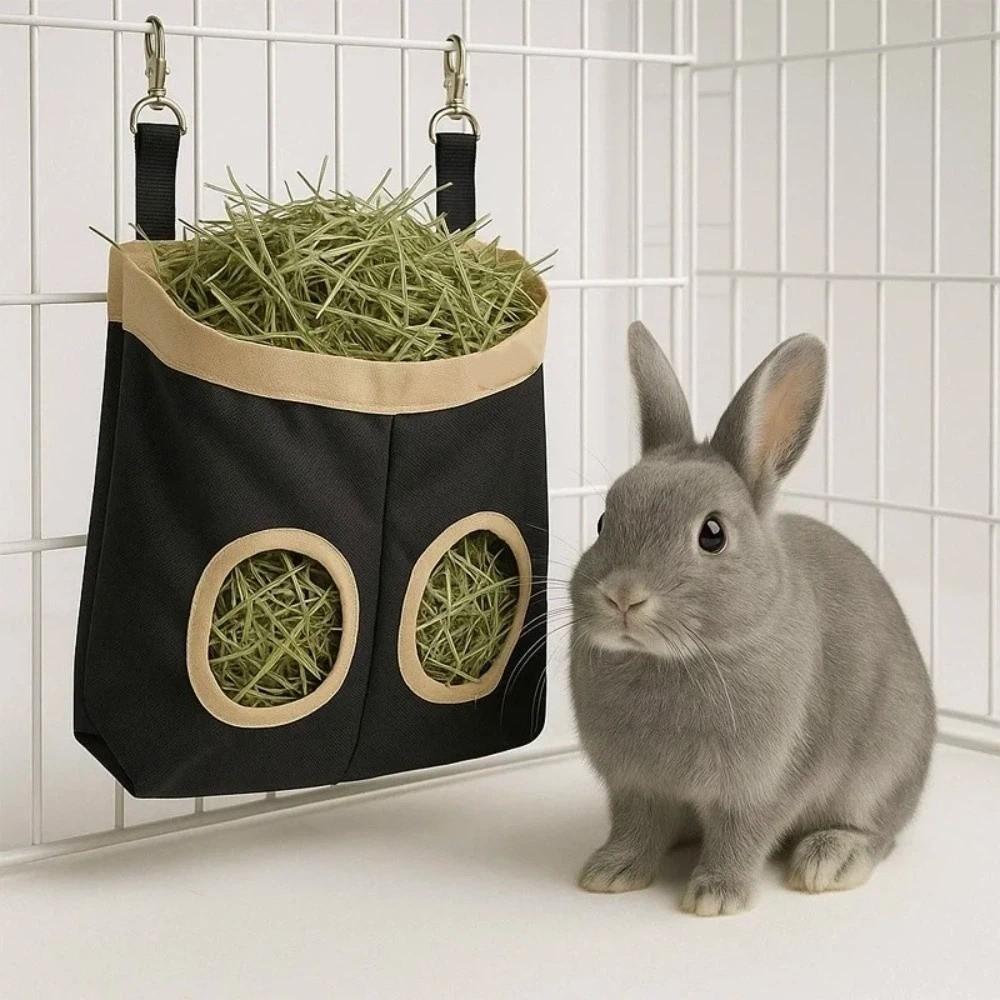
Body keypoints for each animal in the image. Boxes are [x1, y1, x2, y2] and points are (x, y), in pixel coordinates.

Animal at [568, 323, 935, 916]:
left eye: (713, 534)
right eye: (603, 521)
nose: (623, 596)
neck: (676, 659)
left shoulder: (764, 786)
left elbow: (741, 838)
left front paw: (715, 897)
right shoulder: (635, 786)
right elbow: (635, 828)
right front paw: (610, 873)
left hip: (883, 767)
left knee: (879, 832)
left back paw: (831, 859)